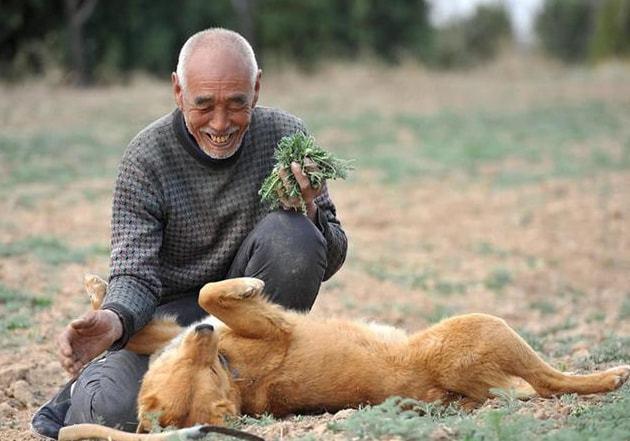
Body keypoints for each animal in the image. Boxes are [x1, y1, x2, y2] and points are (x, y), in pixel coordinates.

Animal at [60, 276, 630, 438]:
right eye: (206, 368)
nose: (205, 338)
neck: (235, 370)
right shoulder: (269, 324)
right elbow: (211, 294)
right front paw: (247, 284)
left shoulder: (169, 331)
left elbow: (139, 326)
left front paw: (92, 302)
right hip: (483, 326)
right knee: (549, 383)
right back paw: (611, 376)